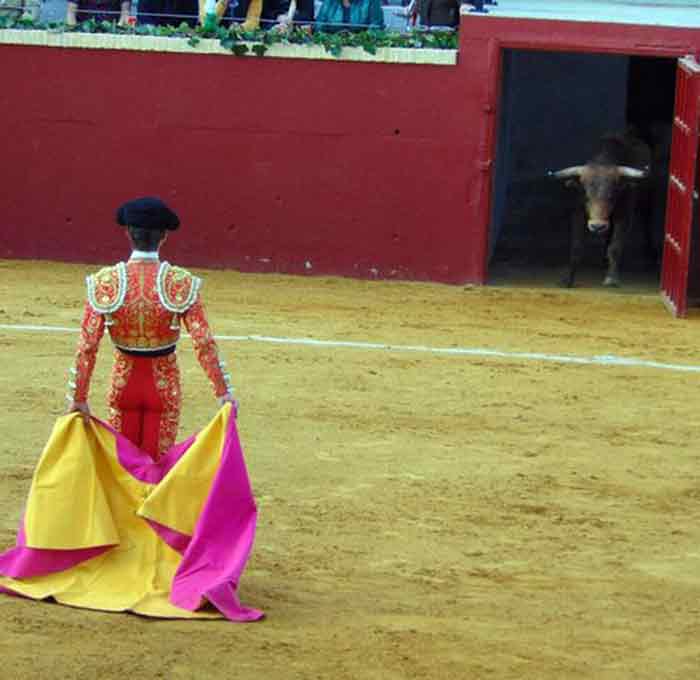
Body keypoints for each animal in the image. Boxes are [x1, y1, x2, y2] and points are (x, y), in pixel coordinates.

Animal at [552, 133, 652, 286]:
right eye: (586, 196)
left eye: (611, 196)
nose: (597, 226)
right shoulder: (578, 212)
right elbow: (576, 246)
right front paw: (568, 279)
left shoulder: (624, 215)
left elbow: (615, 246)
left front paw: (612, 278)